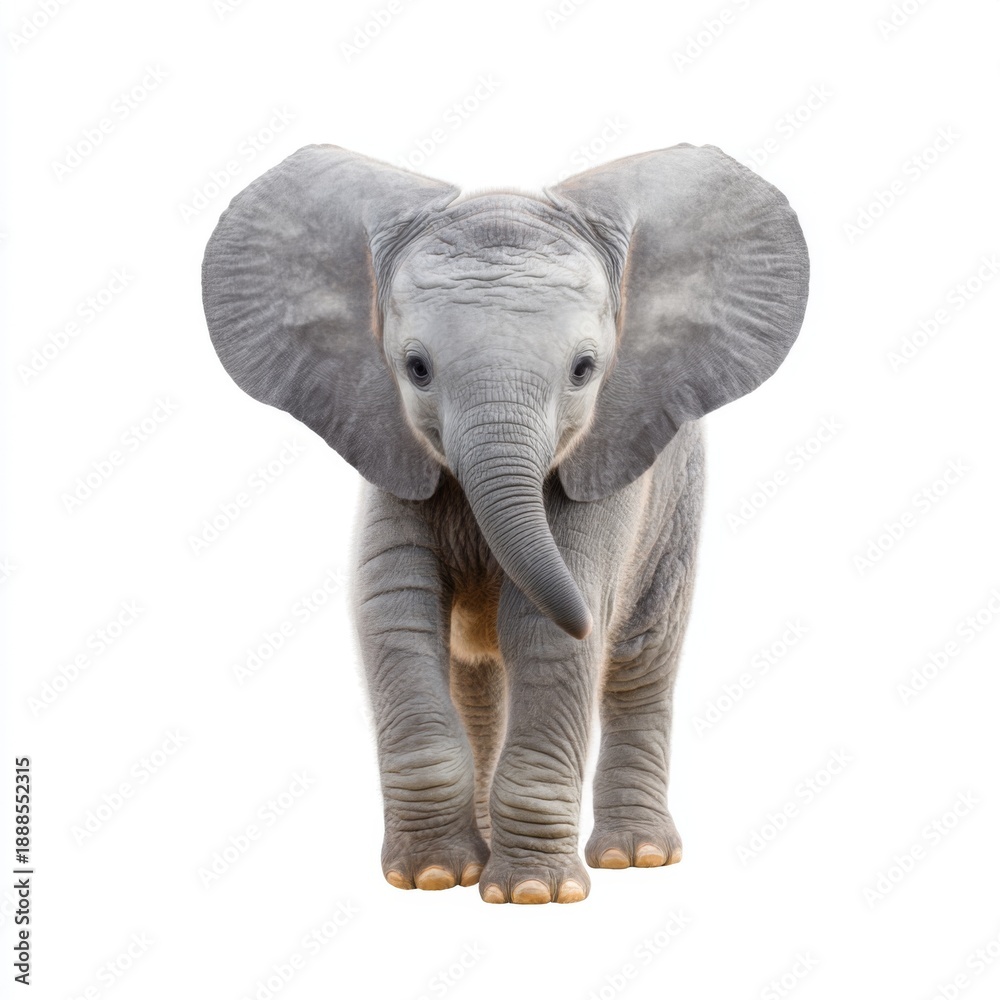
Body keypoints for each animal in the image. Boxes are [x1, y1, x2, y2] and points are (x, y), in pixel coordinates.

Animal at [202, 142, 808, 904]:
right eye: (416, 367)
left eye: (584, 369)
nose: (589, 618)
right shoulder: (388, 444)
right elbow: (394, 610)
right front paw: (431, 877)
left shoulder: (608, 456)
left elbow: (543, 633)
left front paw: (532, 894)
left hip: (677, 500)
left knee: (641, 660)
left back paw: (635, 857)